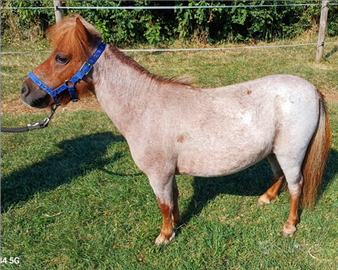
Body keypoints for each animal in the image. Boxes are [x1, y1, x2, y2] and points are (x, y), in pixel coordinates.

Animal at [20, 15, 330, 246]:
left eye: (61, 58)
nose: (26, 90)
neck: (144, 107)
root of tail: (313, 90)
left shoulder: (158, 174)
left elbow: (163, 205)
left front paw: (165, 236)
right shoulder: (169, 173)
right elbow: (174, 199)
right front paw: (177, 224)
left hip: (291, 154)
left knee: (296, 185)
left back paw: (289, 227)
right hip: (273, 152)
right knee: (279, 176)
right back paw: (266, 198)